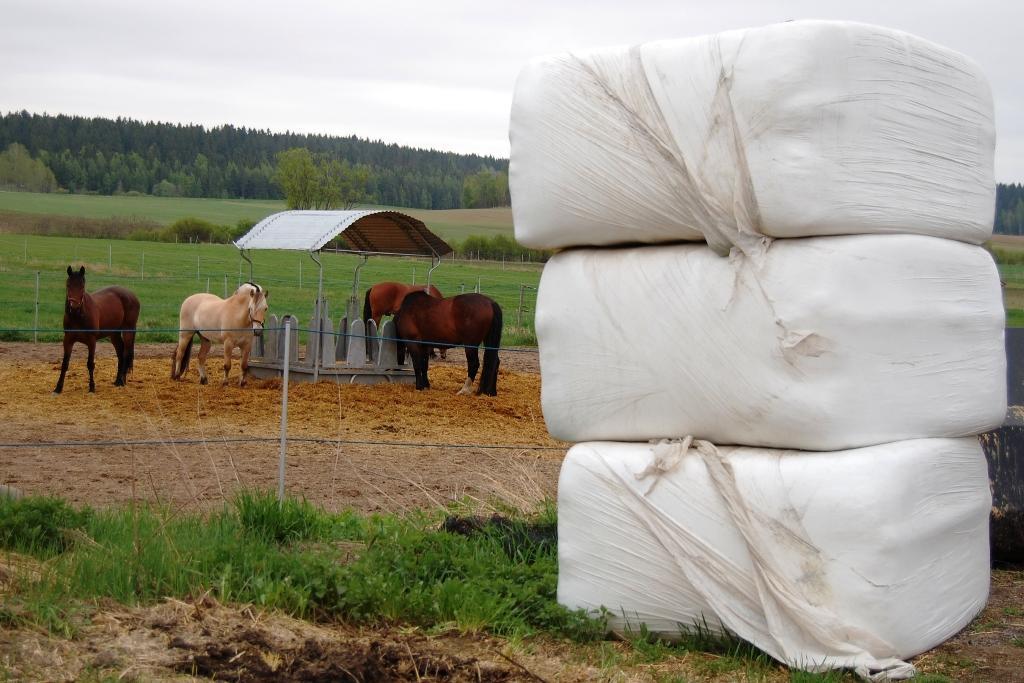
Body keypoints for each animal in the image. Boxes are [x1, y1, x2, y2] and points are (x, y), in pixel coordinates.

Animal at [54, 266, 141, 395]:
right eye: (68, 285)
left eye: (82, 286)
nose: (74, 307)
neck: (78, 317)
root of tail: (131, 295)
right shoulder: (68, 340)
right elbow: (65, 364)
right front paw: (58, 388)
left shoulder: (91, 341)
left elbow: (90, 364)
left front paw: (92, 387)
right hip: (114, 334)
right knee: (120, 353)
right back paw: (118, 381)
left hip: (128, 330)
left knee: (126, 353)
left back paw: (121, 381)